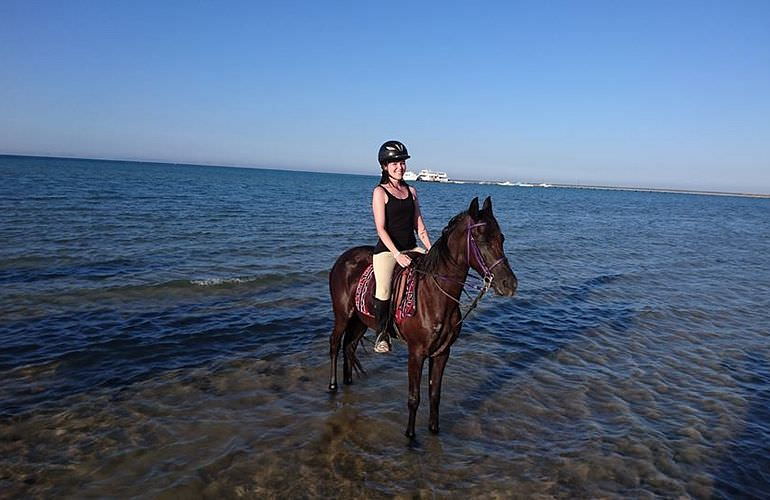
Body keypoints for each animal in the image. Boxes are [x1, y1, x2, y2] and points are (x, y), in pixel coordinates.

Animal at [326, 196, 516, 438]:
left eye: (501, 238)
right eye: (480, 239)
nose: (509, 284)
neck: (435, 296)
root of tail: (344, 259)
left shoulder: (442, 352)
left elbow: (434, 395)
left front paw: (434, 430)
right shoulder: (416, 353)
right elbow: (414, 398)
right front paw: (410, 436)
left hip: (360, 321)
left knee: (349, 346)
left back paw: (348, 381)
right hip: (343, 316)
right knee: (334, 344)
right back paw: (333, 385)